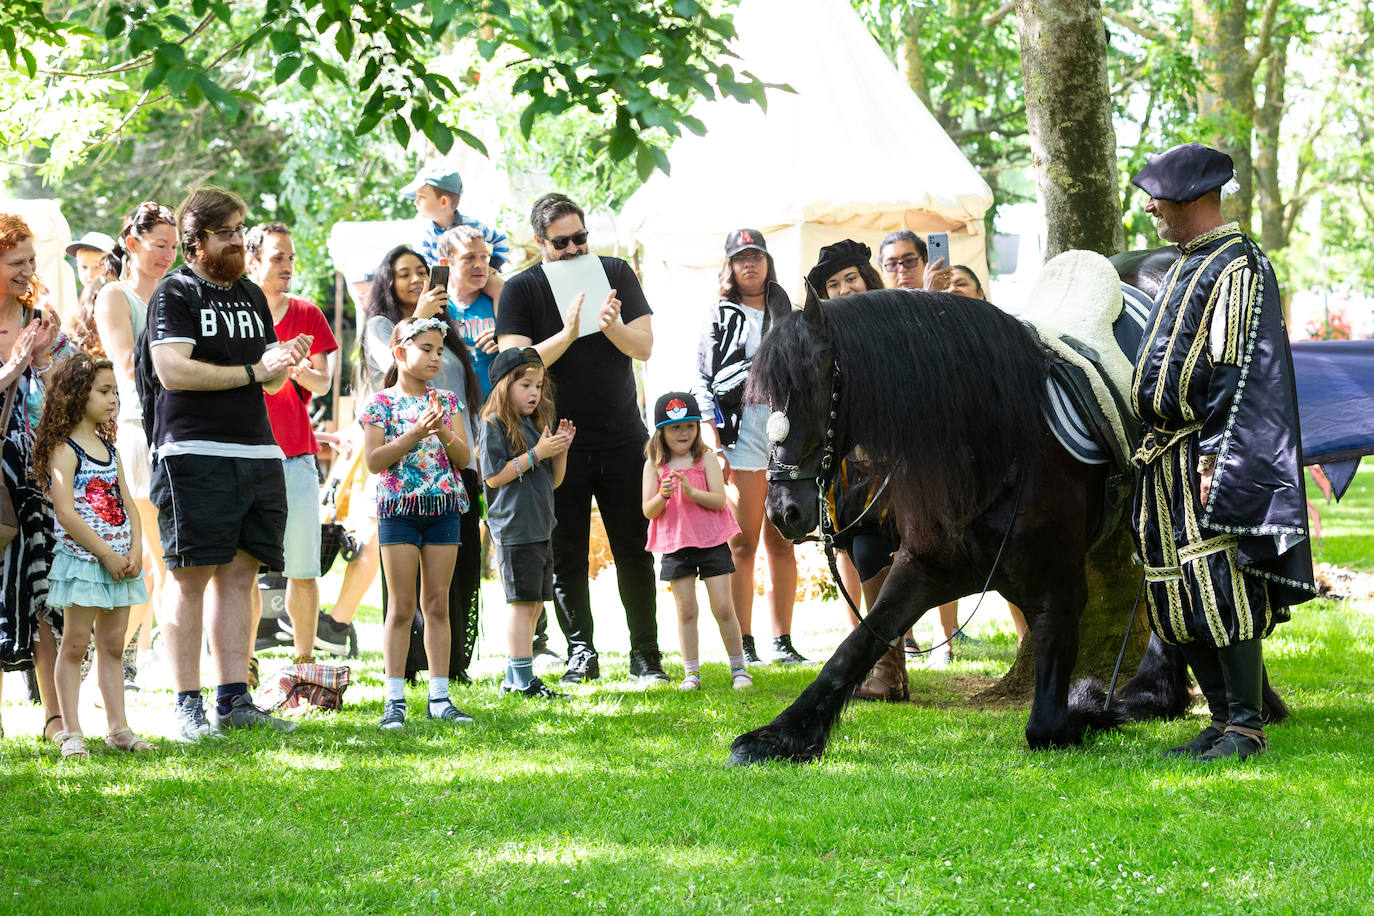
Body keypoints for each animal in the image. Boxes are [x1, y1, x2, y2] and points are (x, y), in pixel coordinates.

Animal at [730, 289, 1115, 763]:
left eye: (813, 392)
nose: (783, 511)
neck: (1000, 447)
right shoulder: (926, 569)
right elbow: (855, 647)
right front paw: (782, 734)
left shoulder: (1058, 591)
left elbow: (1046, 726)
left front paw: (1091, 708)